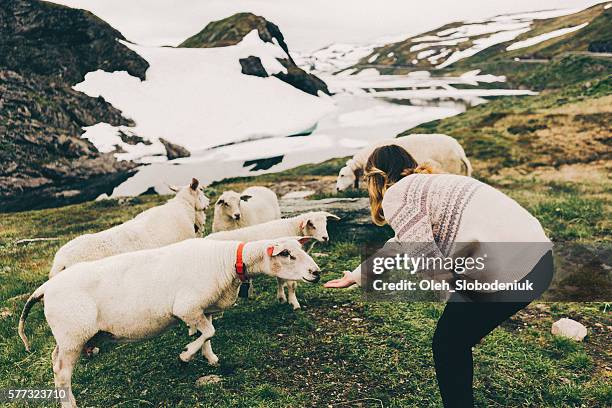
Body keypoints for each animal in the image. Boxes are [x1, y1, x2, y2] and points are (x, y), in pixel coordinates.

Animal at [17, 236, 320, 408]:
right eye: (287, 254)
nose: (316, 272)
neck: (226, 263)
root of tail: (45, 287)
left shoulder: (203, 307)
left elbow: (209, 332)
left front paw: (210, 358)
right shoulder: (187, 307)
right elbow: (209, 331)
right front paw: (186, 355)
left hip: (69, 338)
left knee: (55, 360)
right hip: (73, 336)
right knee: (61, 372)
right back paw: (70, 404)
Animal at [206, 212, 340, 308]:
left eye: (326, 223)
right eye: (312, 224)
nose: (325, 238)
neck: (293, 228)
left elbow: (280, 281)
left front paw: (281, 298)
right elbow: (291, 285)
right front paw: (294, 303)